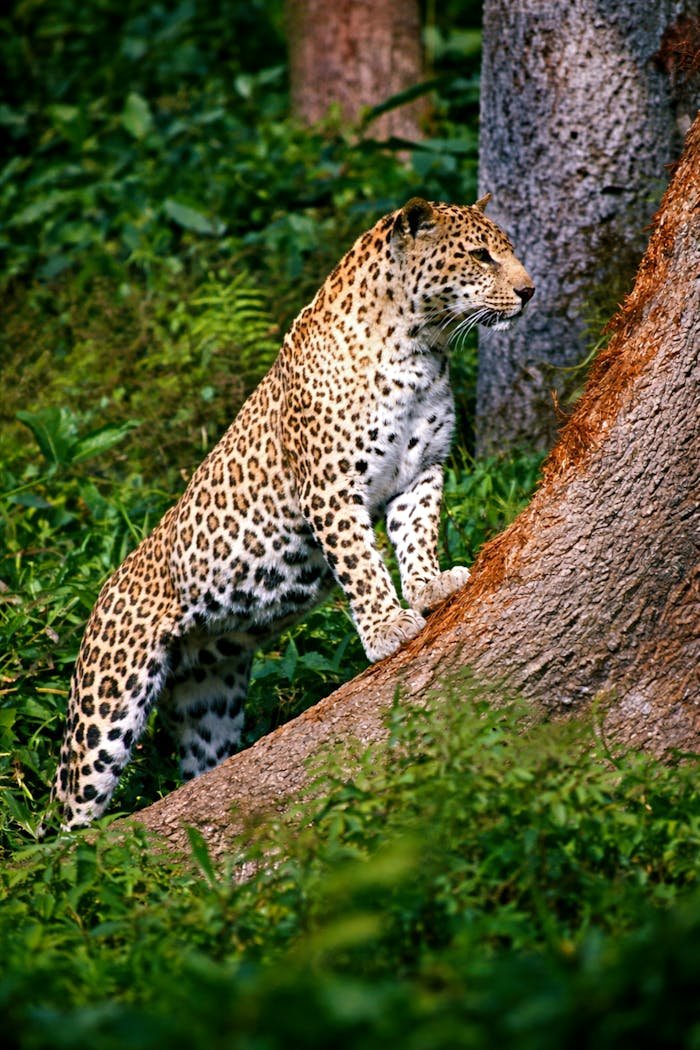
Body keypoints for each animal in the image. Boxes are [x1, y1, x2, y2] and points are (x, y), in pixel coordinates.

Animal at [48, 195, 534, 829]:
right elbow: (362, 564)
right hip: (108, 703)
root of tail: (102, 595)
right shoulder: (331, 488)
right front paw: (387, 627)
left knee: (200, 764)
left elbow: (417, 536)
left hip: (211, 696)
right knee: (68, 806)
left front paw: (430, 586)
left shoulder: (421, 472)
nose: (529, 291)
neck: (420, 349)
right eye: (480, 255)